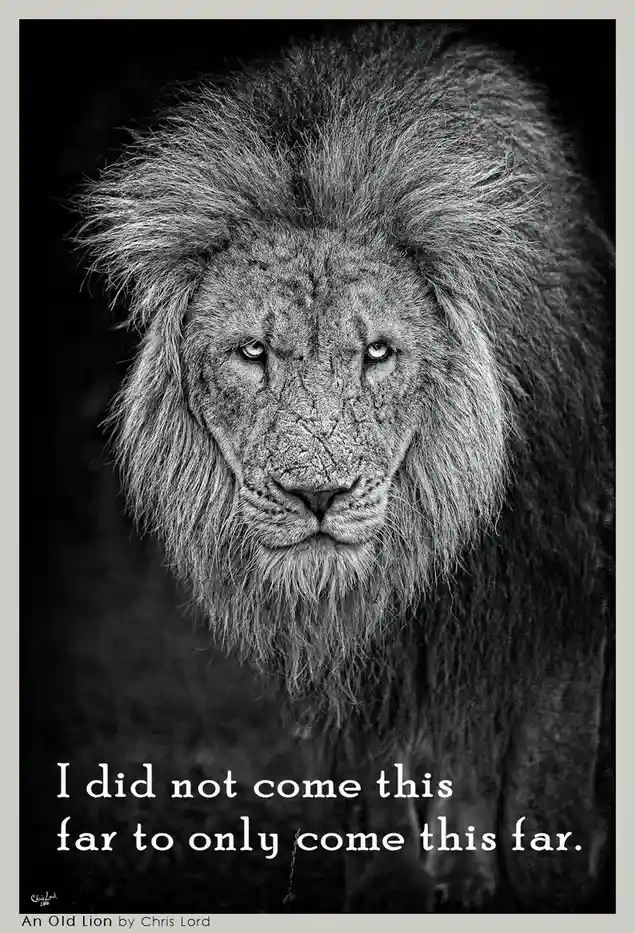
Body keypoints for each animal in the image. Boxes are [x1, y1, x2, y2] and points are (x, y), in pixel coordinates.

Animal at [76, 23, 614, 912]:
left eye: (378, 352)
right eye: (251, 352)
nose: (317, 493)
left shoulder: (564, 592)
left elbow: (546, 795)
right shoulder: (356, 648)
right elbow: (370, 781)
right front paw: (390, 884)